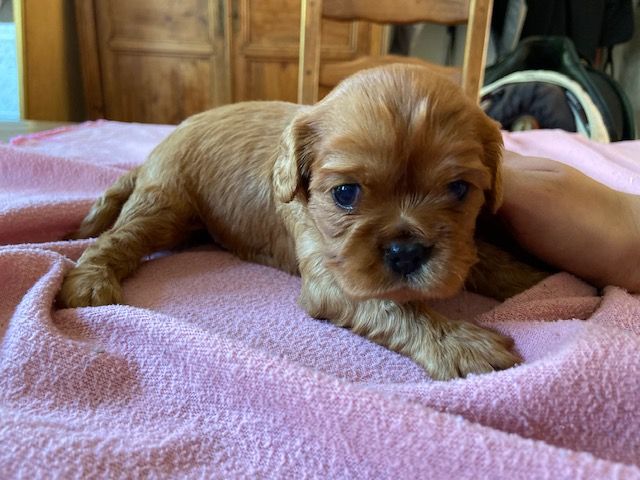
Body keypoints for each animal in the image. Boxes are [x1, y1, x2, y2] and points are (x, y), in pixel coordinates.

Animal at [58, 64, 547, 380]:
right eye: (346, 193)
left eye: (459, 189)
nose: (406, 253)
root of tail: (157, 149)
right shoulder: (331, 278)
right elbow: (394, 305)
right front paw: (460, 344)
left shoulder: (459, 243)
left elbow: (484, 258)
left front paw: (533, 281)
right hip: (165, 203)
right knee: (116, 239)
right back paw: (90, 280)